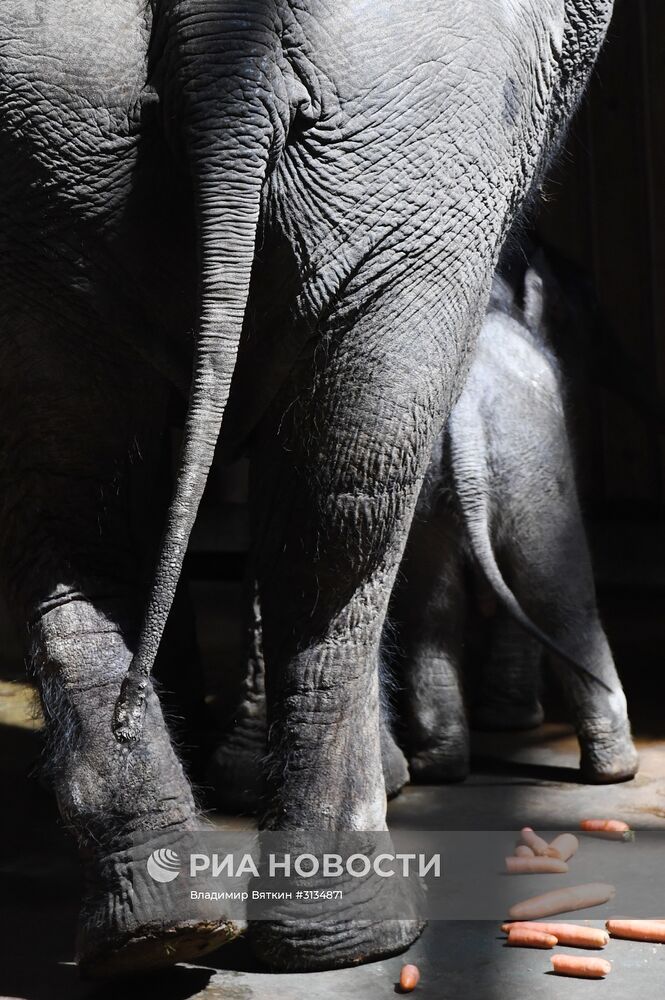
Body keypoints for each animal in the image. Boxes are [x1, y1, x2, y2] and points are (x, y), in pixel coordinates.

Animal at [394, 260, 640, 788]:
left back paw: (438, 770)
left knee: (432, 611)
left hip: (425, 490)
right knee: (560, 600)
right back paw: (617, 771)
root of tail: (462, 411)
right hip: (530, 456)